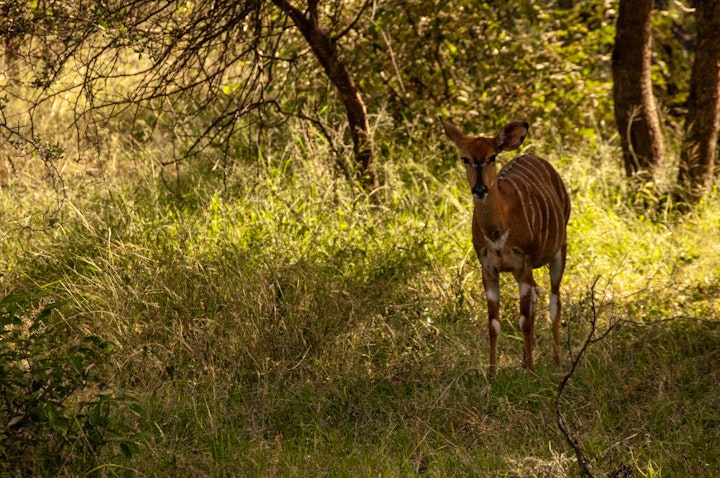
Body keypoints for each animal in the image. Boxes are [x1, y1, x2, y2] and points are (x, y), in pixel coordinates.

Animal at [438, 117, 572, 376]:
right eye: (465, 158)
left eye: (492, 157)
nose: (480, 189)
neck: (498, 230)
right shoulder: (488, 268)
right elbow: (494, 323)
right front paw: (492, 373)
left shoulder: (524, 262)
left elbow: (524, 321)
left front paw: (530, 371)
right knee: (537, 295)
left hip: (559, 249)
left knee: (554, 301)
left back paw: (558, 362)